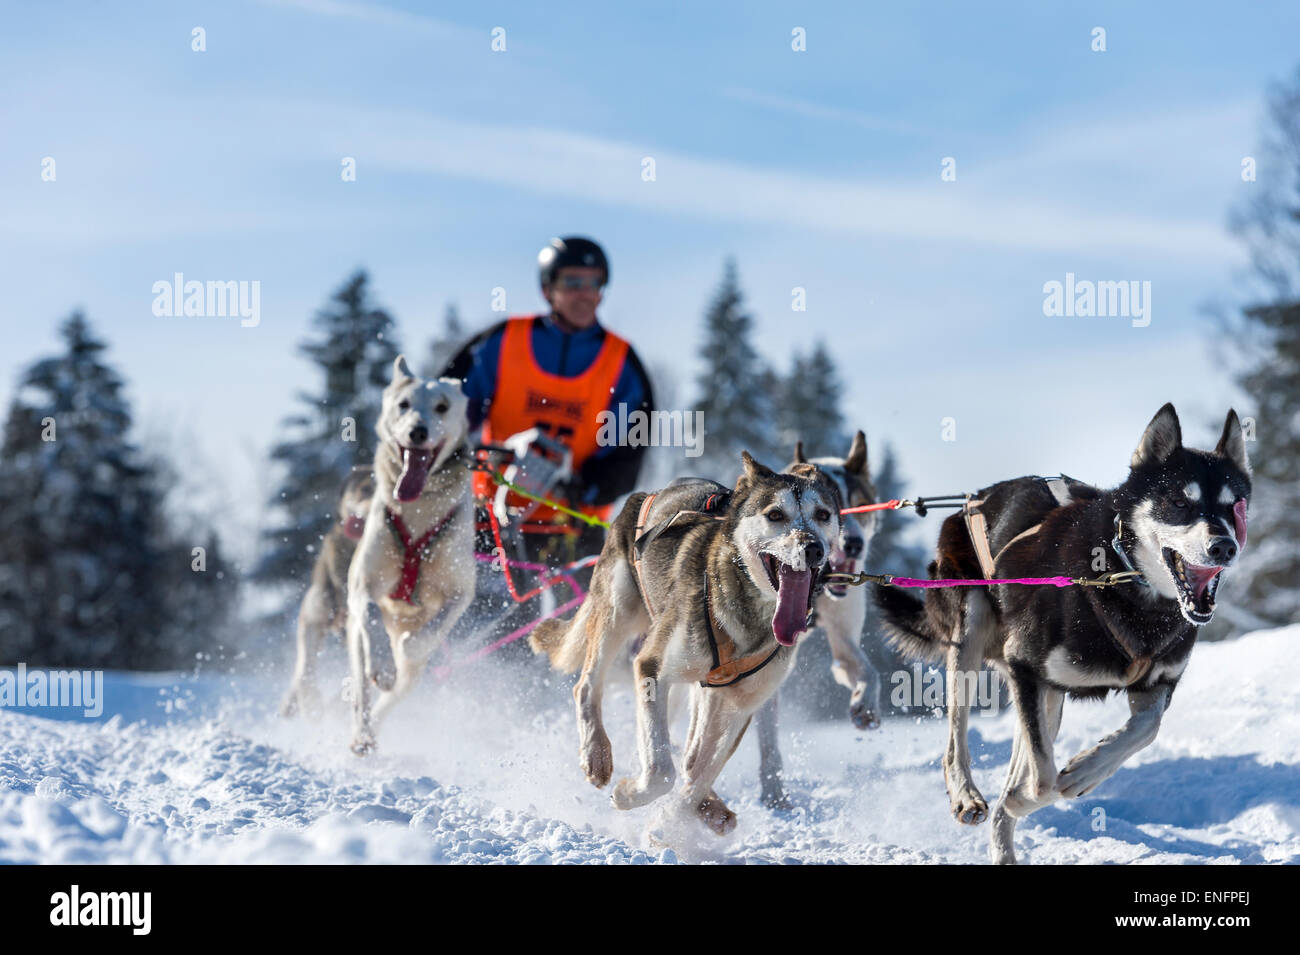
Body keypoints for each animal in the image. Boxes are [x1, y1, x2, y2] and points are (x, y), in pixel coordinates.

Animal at [530, 452, 842, 831]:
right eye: (775, 515)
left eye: (823, 515)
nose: (812, 548)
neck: (751, 616)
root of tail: (648, 493)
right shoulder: (652, 668)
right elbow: (661, 770)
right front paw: (631, 796)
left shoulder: (742, 704)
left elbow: (701, 772)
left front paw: (671, 825)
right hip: (618, 610)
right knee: (587, 686)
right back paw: (596, 755)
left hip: (704, 687)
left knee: (692, 755)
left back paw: (710, 806)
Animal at [873, 402, 1248, 867]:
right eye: (1179, 501)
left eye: (1235, 507)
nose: (1224, 546)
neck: (1120, 579)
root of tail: (974, 499)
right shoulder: (1025, 665)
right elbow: (1043, 783)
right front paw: (1033, 794)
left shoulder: (1156, 684)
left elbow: (1147, 729)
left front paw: (1088, 769)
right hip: (972, 636)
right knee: (958, 739)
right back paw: (966, 795)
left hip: (1045, 692)